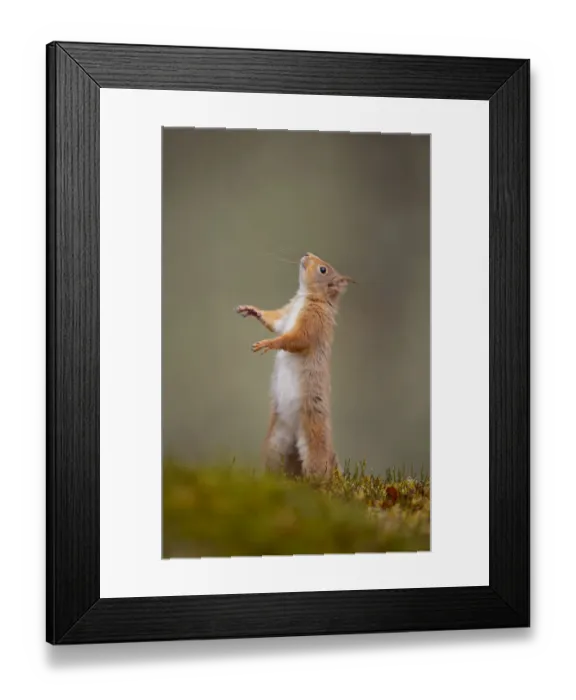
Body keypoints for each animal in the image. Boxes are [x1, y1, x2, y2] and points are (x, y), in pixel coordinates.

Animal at [236, 252, 354, 480]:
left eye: (323, 269)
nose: (307, 254)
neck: (305, 298)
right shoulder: (285, 316)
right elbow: (274, 322)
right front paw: (253, 310)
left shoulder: (313, 323)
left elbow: (296, 339)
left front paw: (269, 344)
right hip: (276, 440)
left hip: (312, 435)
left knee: (319, 467)